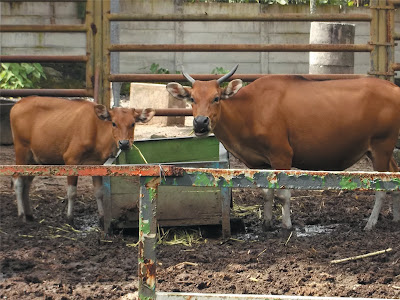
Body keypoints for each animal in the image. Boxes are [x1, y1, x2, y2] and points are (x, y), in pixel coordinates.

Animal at [10, 96, 155, 225]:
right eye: (114, 123)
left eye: (133, 123)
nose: (124, 143)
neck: (97, 131)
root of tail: (17, 104)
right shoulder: (70, 159)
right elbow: (72, 192)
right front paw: (70, 219)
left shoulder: (97, 164)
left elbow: (99, 192)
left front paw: (101, 218)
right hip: (21, 150)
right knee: (18, 181)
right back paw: (21, 215)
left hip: (34, 159)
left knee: (27, 183)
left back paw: (29, 215)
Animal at [166, 65, 400, 230]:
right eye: (192, 99)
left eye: (216, 98)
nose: (200, 123)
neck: (250, 110)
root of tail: (394, 88)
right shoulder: (259, 162)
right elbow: (266, 192)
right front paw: (267, 223)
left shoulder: (282, 155)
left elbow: (283, 193)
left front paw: (287, 225)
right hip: (378, 151)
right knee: (395, 176)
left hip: (381, 146)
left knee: (382, 186)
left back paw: (370, 224)